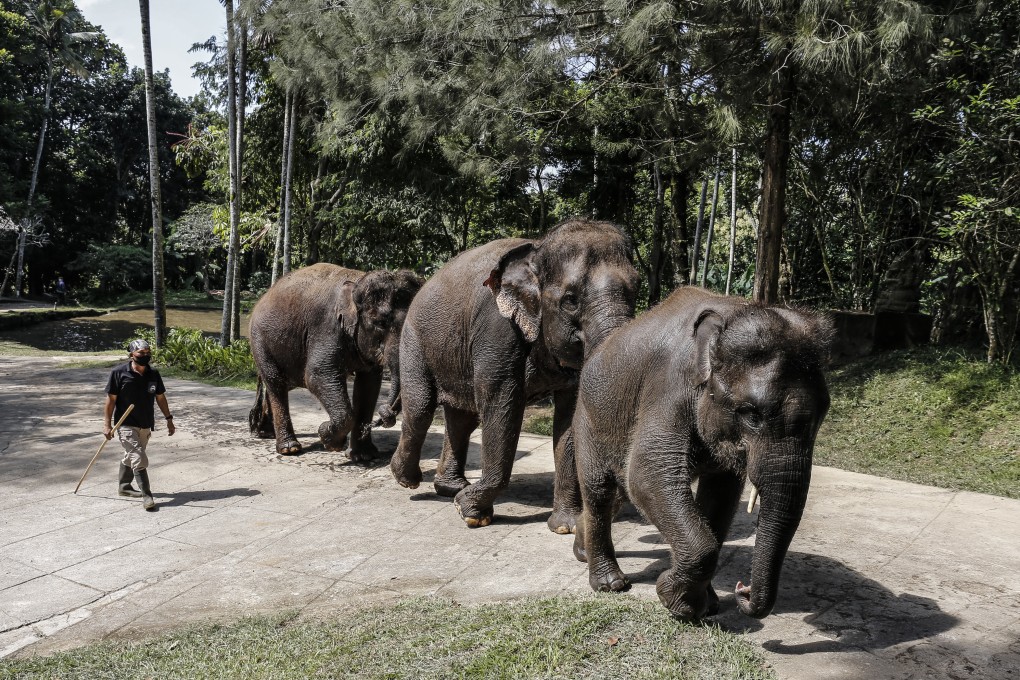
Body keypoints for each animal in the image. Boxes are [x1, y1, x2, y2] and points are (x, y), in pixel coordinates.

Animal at [248, 263, 423, 460]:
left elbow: (368, 385)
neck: (357, 282)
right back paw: (289, 448)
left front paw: (364, 456)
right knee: (276, 382)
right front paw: (327, 437)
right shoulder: (326, 327)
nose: (381, 419)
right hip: (259, 340)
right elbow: (317, 375)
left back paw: (265, 433)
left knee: (281, 384)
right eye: (379, 323)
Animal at [389, 218, 640, 532]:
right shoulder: (496, 330)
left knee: (462, 419)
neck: (538, 248)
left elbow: (569, 416)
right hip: (414, 338)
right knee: (421, 406)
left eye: (636, 290)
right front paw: (470, 513)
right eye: (571, 300)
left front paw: (565, 526)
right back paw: (407, 479)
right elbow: (501, 405)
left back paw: (450, 488)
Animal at [572, 286, 833, 621]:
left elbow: (721, 493)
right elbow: (646, 476)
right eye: (752, 414)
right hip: (587, 420)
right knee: (600, 490)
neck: (732, 314)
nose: (743, 591)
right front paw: (677, 602)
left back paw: (581, 550)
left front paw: (707, 606)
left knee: (618, 493)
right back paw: (610, 583)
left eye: (823, 413)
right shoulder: (668, 386)